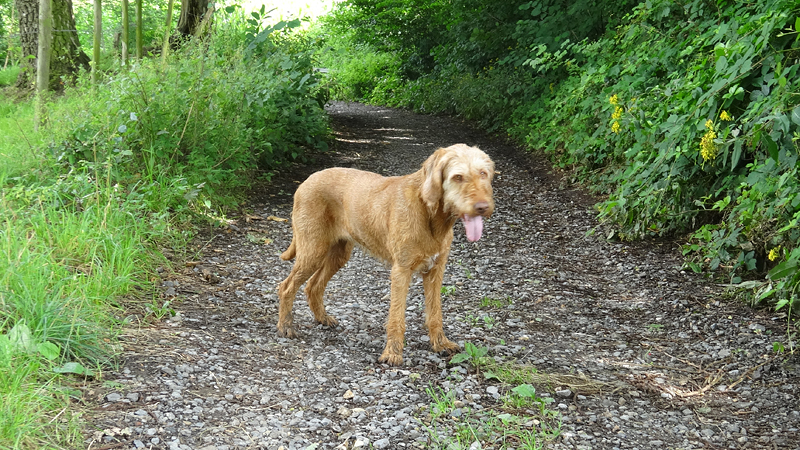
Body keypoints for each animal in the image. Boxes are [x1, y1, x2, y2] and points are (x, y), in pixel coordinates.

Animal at [277, 144, 495, 365]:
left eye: (483, 173)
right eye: (458, 177)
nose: (483, 207)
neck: (429, 213)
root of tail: (305, 182)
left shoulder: (436, 270)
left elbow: (435, 313)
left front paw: (440, 344)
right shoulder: (401, 271)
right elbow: (396, 317)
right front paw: (392, 353)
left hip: (338, 254)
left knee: (313, 286)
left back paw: (322, 318)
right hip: (313, 250)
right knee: (286, 287)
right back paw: (286, 327)